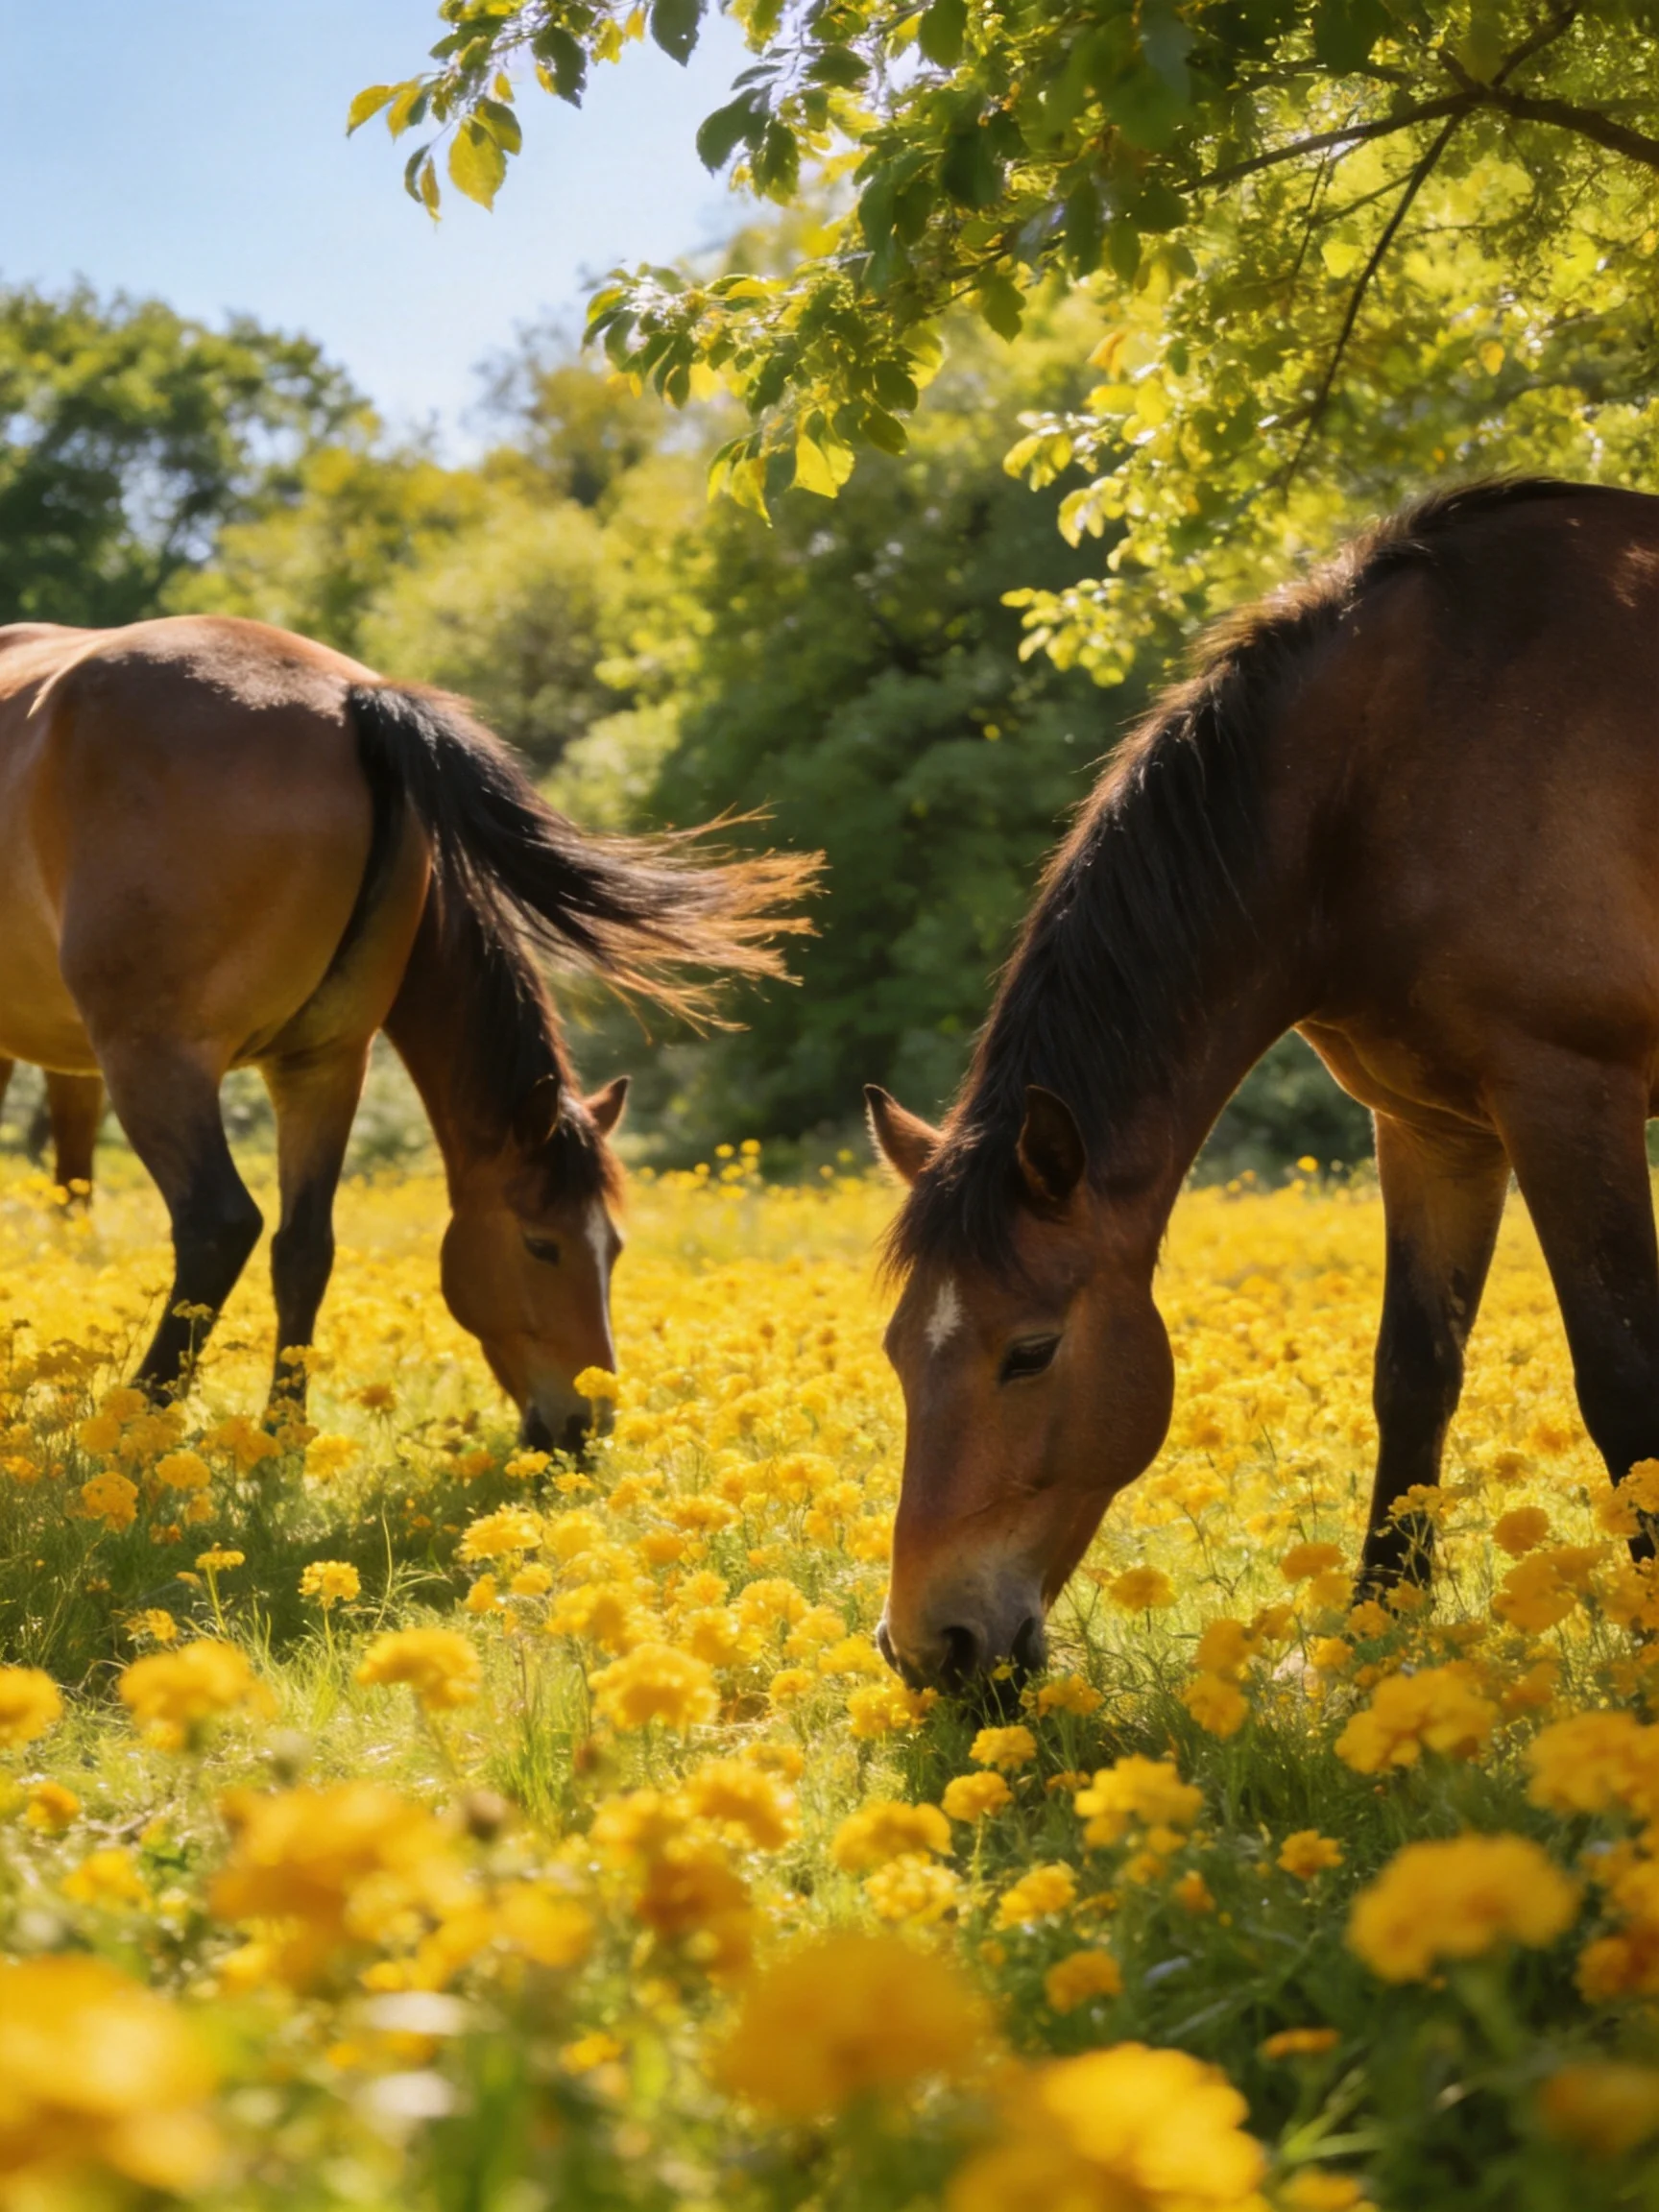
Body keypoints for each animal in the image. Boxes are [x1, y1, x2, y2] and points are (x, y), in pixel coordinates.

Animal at [0, 615, 812, 1449]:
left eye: (611, 1249)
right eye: (542, 1245)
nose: (584, 1431)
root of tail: (352, 703)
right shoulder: (316, 1062)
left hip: (170, 1061)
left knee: (225, 1227)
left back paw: (150, 1421)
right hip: (260, 1067)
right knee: (287, 1243)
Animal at [866, 477, 1659, 1688]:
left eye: (1030, 1353)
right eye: (900, 1353)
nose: (932, 1651)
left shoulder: (1569, 1099)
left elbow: (1623, 1379)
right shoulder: (1434, 1129)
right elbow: (1414, 1375)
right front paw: (1378, 1634)